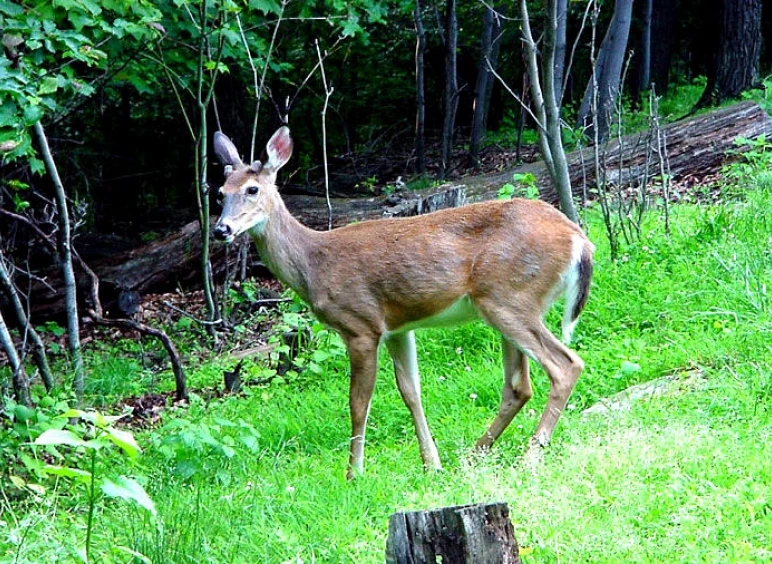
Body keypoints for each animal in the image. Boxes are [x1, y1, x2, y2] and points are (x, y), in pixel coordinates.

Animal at [212, 126, 594, 479]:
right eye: (220, 192)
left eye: (252, 189)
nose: (221, 229)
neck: (314, 264)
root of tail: (579, 240)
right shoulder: (398, 327)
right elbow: (411, 391)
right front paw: (432, 464)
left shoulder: (361, 325)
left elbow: (358, 403)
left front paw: (354, 473)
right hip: (506, 304)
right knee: (518, 386)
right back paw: (475, 453)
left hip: (509, 299)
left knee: (566, 365)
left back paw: (530, 455)